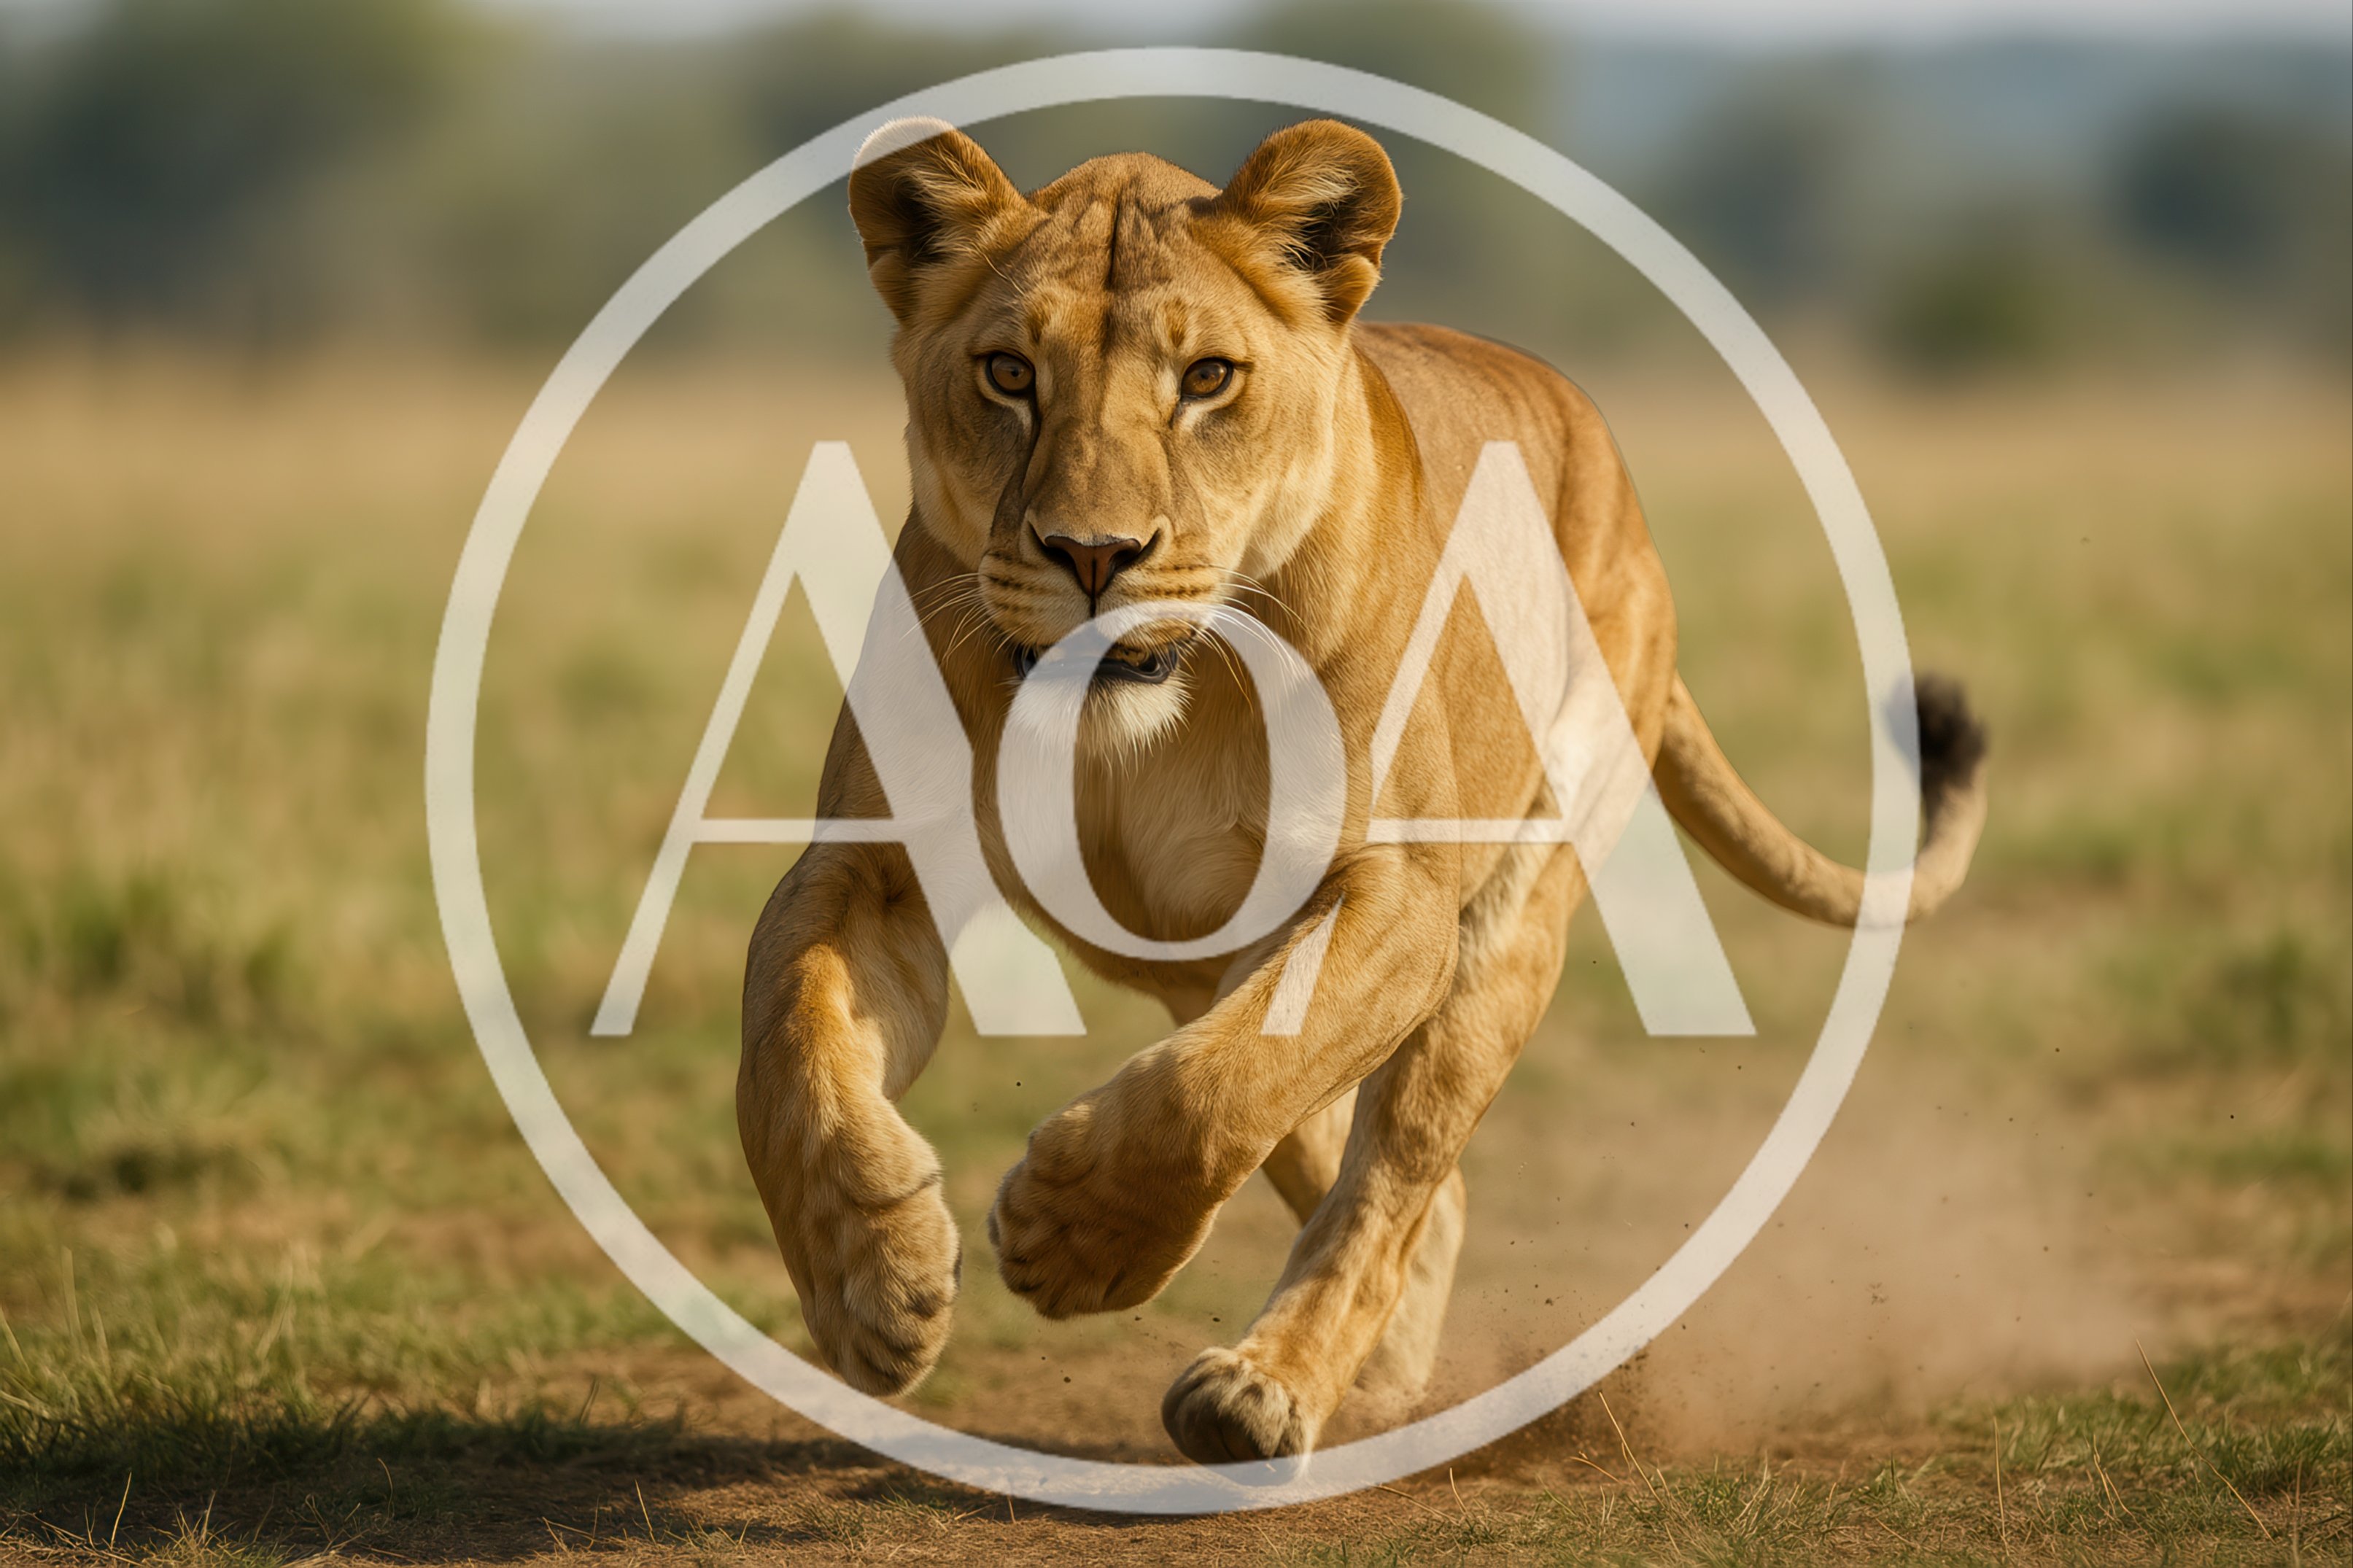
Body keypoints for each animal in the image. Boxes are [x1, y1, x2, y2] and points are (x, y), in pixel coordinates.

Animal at [735, 117, 1988, 1465]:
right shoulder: (875, 864)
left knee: (1392, 1179)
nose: (1093, 555)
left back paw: (1264, 1390)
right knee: (1370, 1163)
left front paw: (1071, 1238)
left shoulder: (1396, 894)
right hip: (1207, 957)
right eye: (1009, 374)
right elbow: (789, 1046)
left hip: (1500, 930)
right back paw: (1370, 1376)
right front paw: (870, 1280)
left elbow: (1211, 1093)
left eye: (1208, 379)